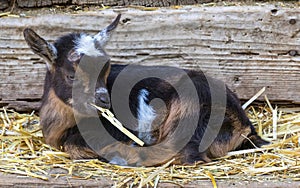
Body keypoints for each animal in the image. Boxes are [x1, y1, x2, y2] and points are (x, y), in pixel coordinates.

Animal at [24, 13, 270, 166]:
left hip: (189, 109)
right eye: (71, 75)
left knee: (187, 155)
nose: (104, 100)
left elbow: (74, 145)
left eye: (106, 69)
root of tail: (245, 126)